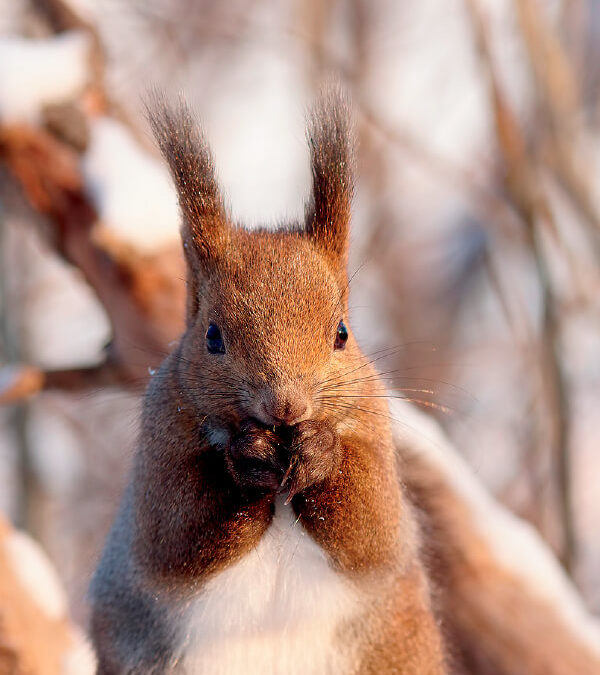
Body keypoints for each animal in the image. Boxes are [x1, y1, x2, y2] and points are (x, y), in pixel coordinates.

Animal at [89, 91, 450, 675]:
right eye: (212, 337)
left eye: (341, 333)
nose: (286, 407)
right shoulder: (161, 448)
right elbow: (176, 535)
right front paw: (249, 458)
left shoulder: (375, 436)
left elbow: (371, 528)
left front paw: (320, 450)